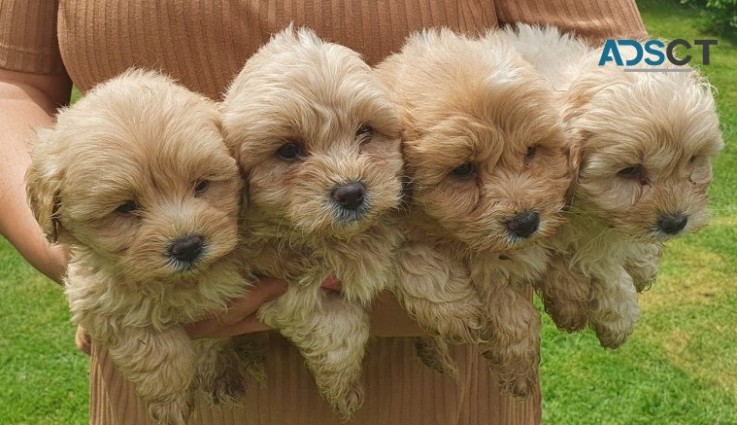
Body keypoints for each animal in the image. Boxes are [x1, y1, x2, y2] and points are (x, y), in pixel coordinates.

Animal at [26, 69, 253, 424]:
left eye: (201, 185)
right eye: (125, 208)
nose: (187, 246)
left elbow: (210, 341)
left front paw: (218, 373)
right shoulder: (97, 298)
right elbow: (154, 347)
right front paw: (171, 403)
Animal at [376, 29, 572, 398]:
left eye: (531, 151)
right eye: (464, 169)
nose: (526, 223)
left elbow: (498, 279)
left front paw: (518, 359)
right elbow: (410, 252)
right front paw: (456, 311)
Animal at [504, 23, 720, 346]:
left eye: (693, 158)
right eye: (629, 171)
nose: (675, 223)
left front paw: (642, 262)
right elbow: (598, 256)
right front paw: (618, 313)